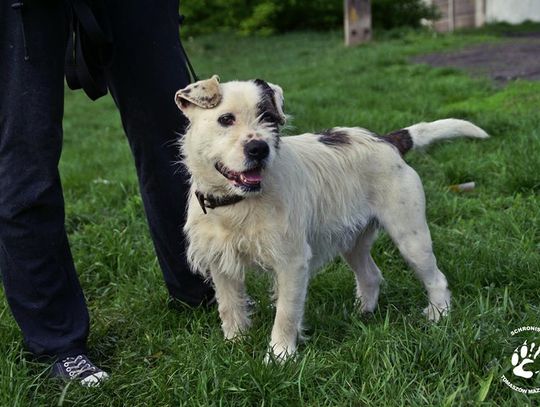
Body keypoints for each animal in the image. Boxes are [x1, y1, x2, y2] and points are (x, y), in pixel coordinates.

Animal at [174, 75, 490, 362]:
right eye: (225, 119)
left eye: (268, 118)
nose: (259, 148)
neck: (236, 203)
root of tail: (387, 140)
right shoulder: (220, 262)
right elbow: (229, 305)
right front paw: (235, 343)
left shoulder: (292, 262)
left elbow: (286, 313)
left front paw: (280, 357)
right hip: (353, 242)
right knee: (371, 275)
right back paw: (363, 314)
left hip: (411, 237)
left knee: (436, 278)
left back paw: (438, 316)